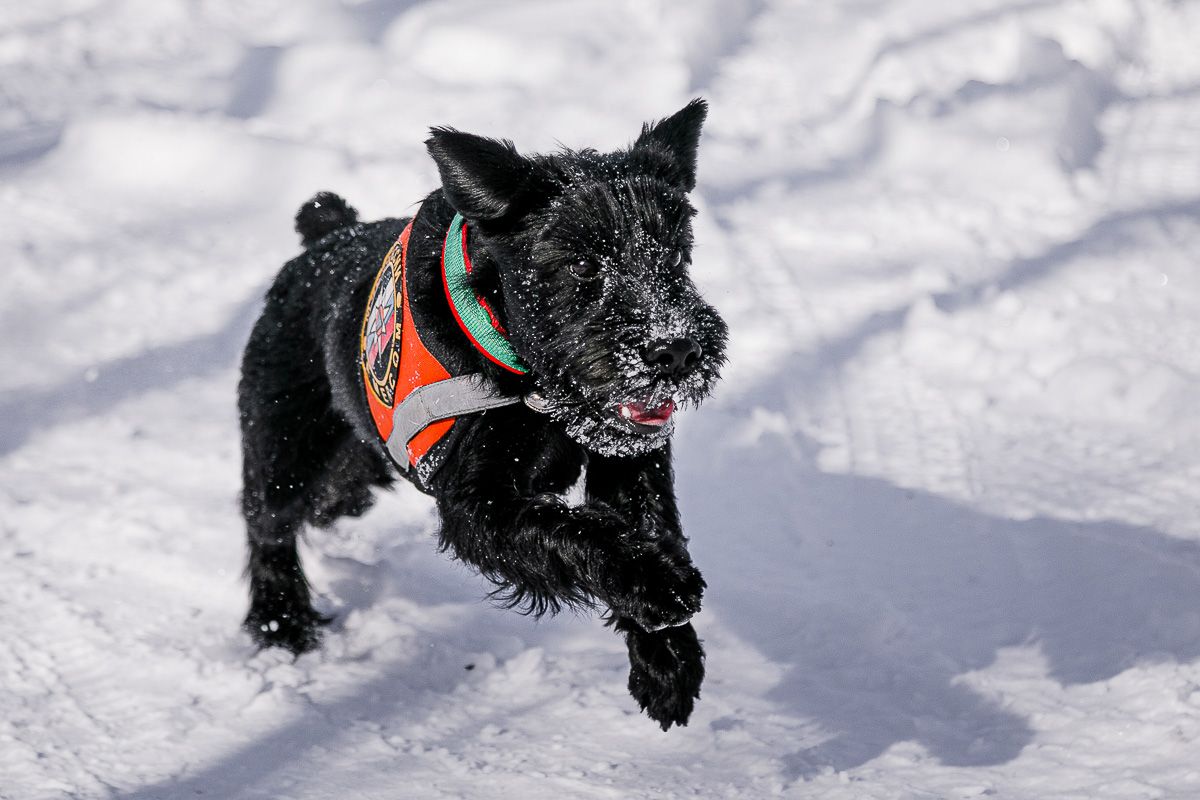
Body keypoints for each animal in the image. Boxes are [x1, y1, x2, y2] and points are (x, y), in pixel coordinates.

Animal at [234, 97, 720, 729]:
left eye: (677, 253)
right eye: (583, 266)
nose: (677, 349)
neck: (528, 378)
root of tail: (325, 240)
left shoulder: (629, 455)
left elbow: (647, 521)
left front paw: (667, 662)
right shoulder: (477, 505)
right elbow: (572, 531)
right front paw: (661, 586)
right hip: (286, 446)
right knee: (267, 524)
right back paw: (283, 624)